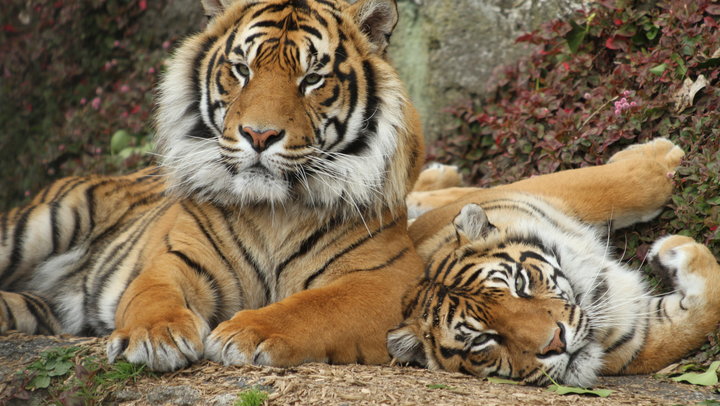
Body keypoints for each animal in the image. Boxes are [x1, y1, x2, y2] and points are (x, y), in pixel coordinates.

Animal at [1, 0, 428, 372]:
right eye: (242, 70)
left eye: (312, 79)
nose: (259, 135)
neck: (276, 212)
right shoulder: (176, 259)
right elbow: (152, 295)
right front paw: (156, 335)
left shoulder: (384, 282)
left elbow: (314, 306)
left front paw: (247, 332)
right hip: (41, 224)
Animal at [388, 139, 720, 386]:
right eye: (482, 340)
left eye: (519, 283)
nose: (556, 344)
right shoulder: (634, 338)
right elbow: (696, 322)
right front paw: (679, 252)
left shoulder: (546, 191)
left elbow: (618, 184)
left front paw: (663, 155)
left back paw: (442, 173)